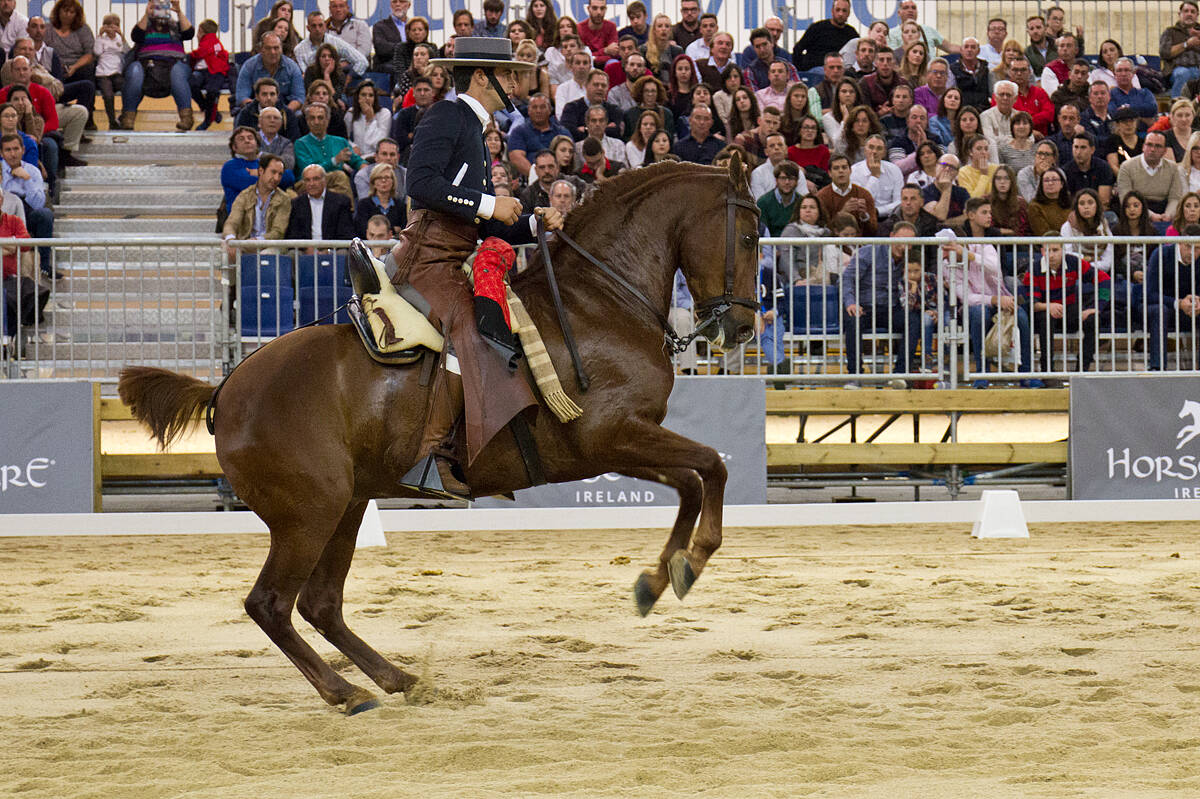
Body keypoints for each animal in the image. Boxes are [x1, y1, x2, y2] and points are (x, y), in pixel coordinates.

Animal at [117, 157, 762, 714]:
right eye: (753, 238)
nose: (741, 328)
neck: (597, 304)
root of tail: (226, 389)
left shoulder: (618, 442)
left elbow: (693, 480)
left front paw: (660, 577)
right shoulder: (609, 435)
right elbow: (712, 466)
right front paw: (693, 560)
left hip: (347, 504)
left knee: (321, 604)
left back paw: (396, 677)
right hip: (311, 512)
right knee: (271, 605)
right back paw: (346, 692)